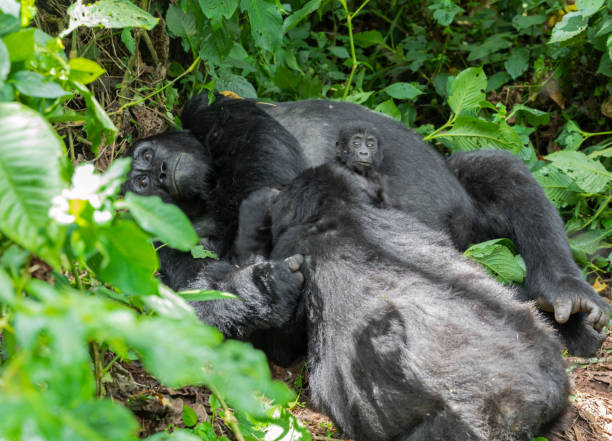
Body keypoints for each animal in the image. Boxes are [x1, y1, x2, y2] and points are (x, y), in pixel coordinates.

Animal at [124, 94, 608, 362]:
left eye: (145, 159)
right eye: (141, 186)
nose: (159, 173)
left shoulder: (215, 114)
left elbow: (264, 160)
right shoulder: (161, 247)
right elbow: (199, 302)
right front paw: (260, 291)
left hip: (474, 224)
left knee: (496, 169)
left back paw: (563, 290)